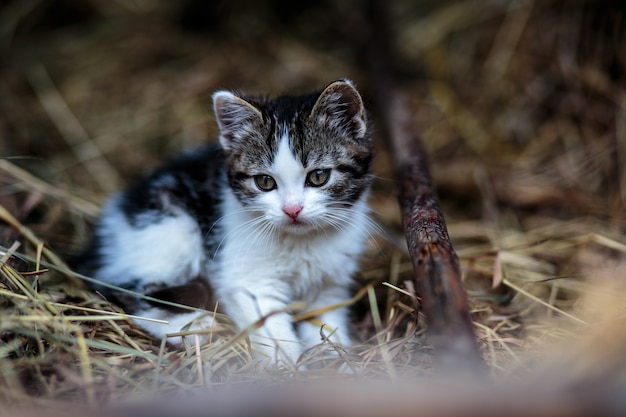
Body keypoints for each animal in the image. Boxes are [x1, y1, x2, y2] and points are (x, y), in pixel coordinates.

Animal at [76, 79, 372, 366]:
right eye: (265, 182)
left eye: (319, 176)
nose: (292, 210)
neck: (302, 240)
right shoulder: (246, 278)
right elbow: (271, 328)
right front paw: (288, 367)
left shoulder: (331, 286)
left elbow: (326, 322)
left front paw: (338, 360)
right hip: (170, 226)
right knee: (126, 289)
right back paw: (190, 326)